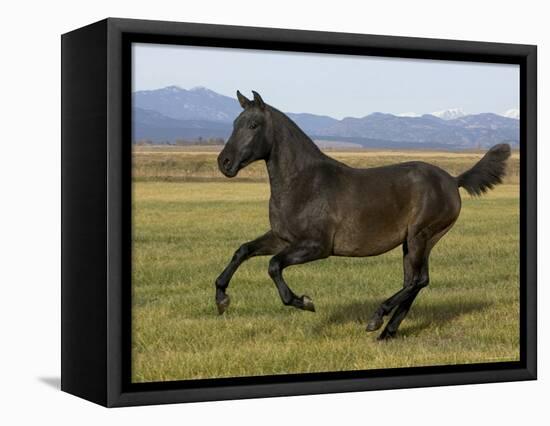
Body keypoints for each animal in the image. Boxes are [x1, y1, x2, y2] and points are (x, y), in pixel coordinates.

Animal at [213, 90, 512, 340]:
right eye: (234, 123)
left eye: (253, 125)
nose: (224, 163)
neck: (304, 183)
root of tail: (452, 180)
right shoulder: (282, 238)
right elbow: (243, 250)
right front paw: (221, 299)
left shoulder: (316, 246)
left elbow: (274, 265)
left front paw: (304, 302)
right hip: (415, 241)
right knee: (416, 281)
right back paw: (387, 332)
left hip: (421, 236)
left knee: (417, 280)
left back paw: (377, 319)